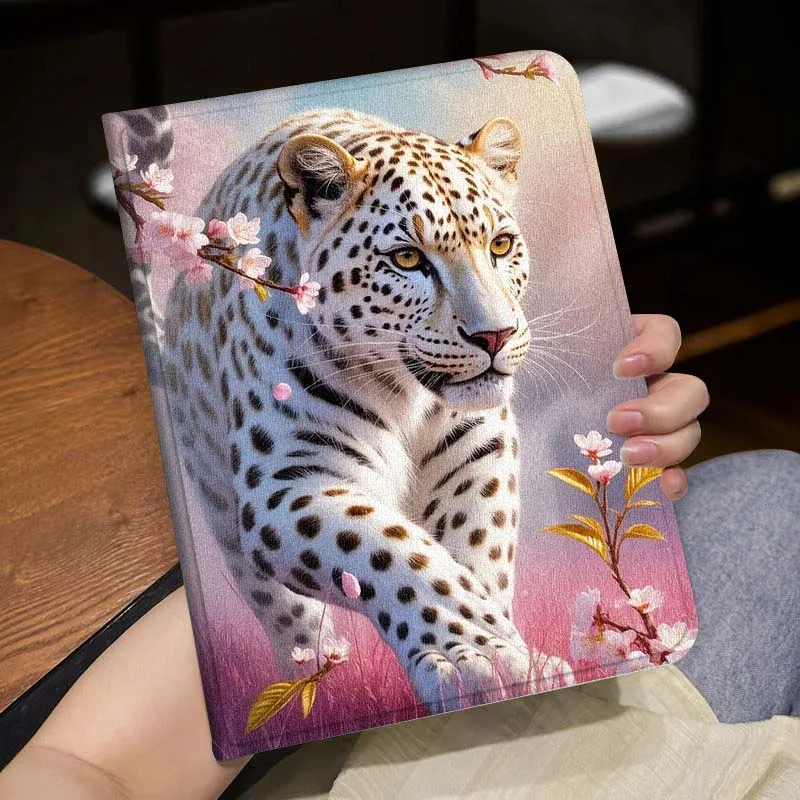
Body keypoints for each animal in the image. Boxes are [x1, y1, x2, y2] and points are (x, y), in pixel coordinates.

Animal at [160, 108, 534, 712]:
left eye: (500, 246)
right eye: (407, 259)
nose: (495, 336)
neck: (409, 399)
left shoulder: (477, 446)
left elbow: (476, 547)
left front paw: (506, 649)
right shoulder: (288, 479)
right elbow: (398, 553)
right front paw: (478, 653)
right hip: (216, 497)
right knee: (282, 611)